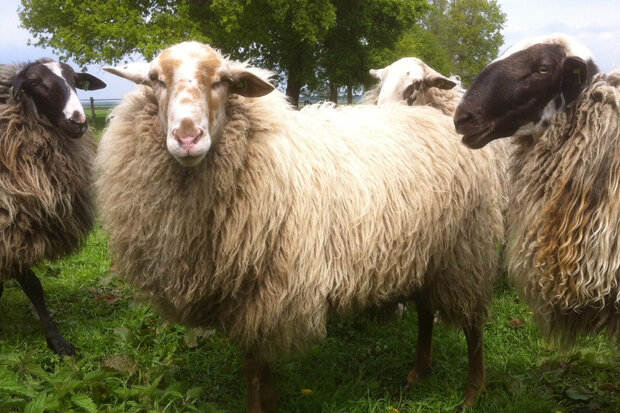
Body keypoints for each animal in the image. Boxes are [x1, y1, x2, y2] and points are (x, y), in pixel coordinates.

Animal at [0, 58, 105, 354]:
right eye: (35, 83)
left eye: (75, 80)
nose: (78, 121)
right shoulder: (13, 231)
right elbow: (33, 285)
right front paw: (56, 340)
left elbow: (35, 289)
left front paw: (57, 341)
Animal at [97, 41, 504, 408]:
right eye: (155, 80)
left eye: (224, 82)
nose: (187, 137)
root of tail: (434, 119)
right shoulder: (247, 296)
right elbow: (257, 370)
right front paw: (270, 400)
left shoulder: (266, 290)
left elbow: (254, 369)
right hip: (425, 252)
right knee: (424, 312)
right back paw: (419, 371)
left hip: (465, 249)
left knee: (473, 326)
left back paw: (473, 392)